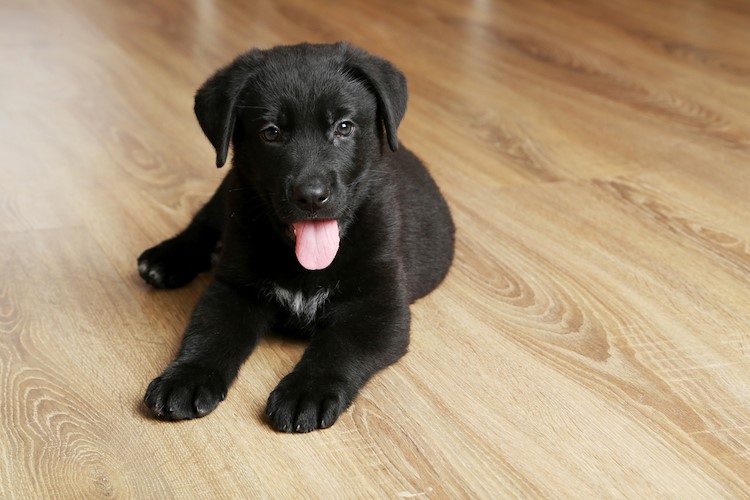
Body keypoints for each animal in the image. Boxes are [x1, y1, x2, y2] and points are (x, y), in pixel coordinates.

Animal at [138, 43, 456, 432]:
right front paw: (185, 377)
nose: (312, 196)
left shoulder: (379, 309)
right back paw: (165, 258)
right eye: (271, 133)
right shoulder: (233, 288)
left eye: (344, 127)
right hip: (230, 188)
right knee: (203, 222)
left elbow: (338, 347)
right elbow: (209, 334)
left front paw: (306, 391)